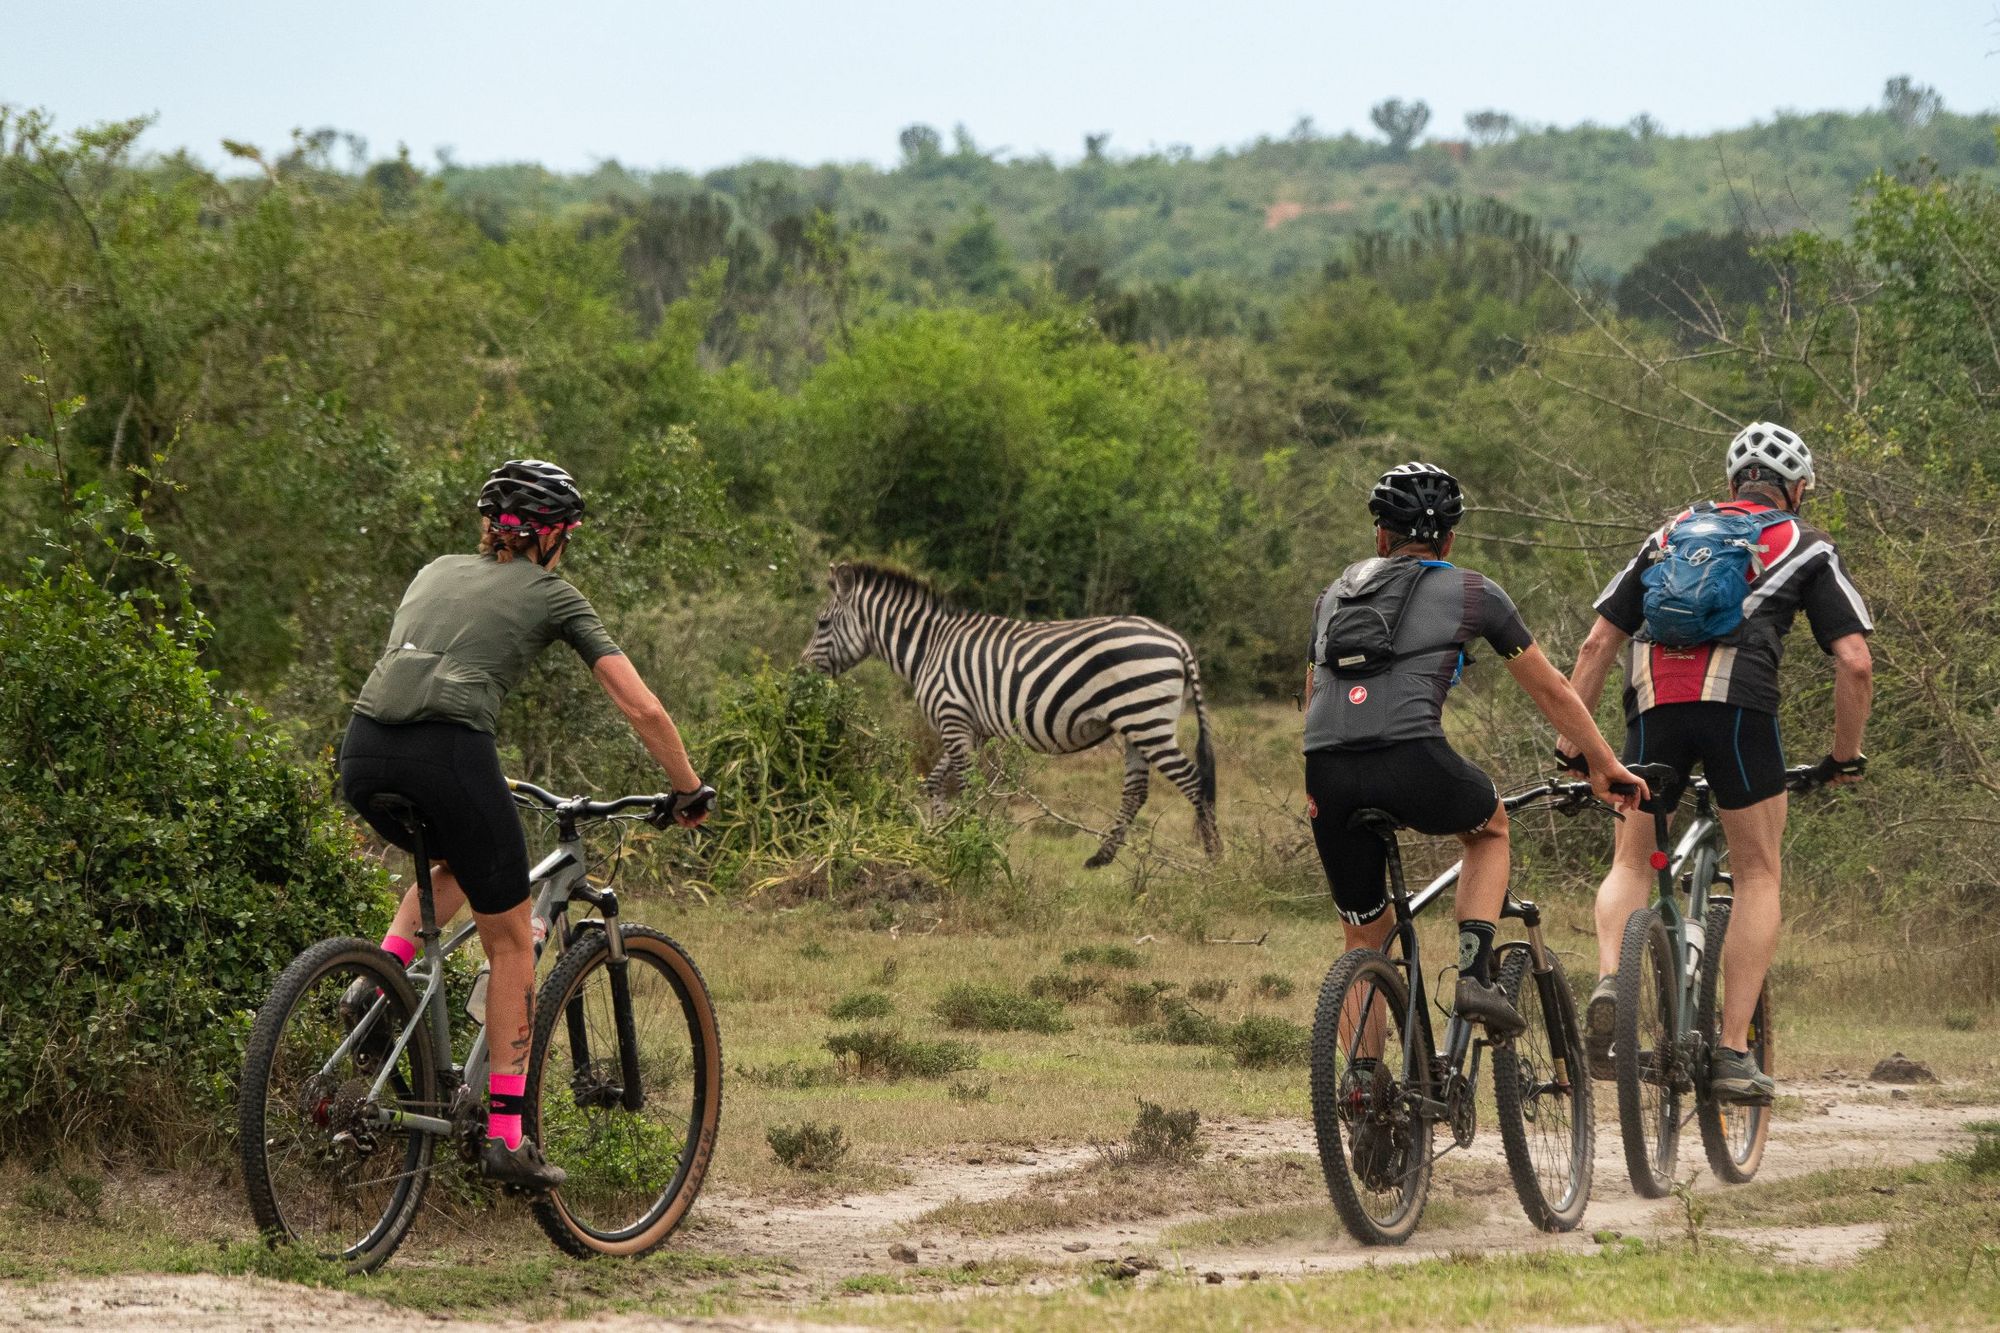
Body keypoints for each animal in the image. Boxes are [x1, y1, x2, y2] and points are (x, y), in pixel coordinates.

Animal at [800, 556, 1216, 860]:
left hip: (1147, 720)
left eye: (821, 623)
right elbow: (936, 782)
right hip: (1135, 724)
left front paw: (970, 843)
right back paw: (1101, 857)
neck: (928, 648)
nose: (800, 674)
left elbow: (966, 785)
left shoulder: (952, 716)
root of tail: (1178, 641)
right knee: (1136, 792)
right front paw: (941, 838)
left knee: (1194, 782)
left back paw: (1213, 864)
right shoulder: (973, 728)